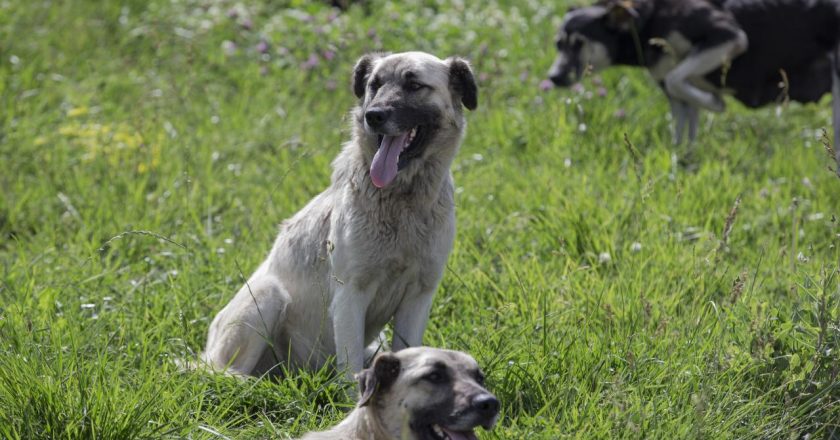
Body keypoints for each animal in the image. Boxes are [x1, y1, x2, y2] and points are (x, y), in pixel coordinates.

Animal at [203, 51, 476, 374]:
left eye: (414, 85)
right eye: (374, 85)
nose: (374, 115)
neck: (401, 202)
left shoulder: (418, 297)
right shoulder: (350, 295)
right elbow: (351, 367)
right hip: (268, 294)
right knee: (225, 373)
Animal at [548, 0, 840, 163]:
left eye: (579, 44)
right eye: (558, 44)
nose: (553, 77)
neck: (648, 19)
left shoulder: (729, 36)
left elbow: (678, 79)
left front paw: (716, 102)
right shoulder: (677, 98)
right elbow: (682, 132)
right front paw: (682, 163)